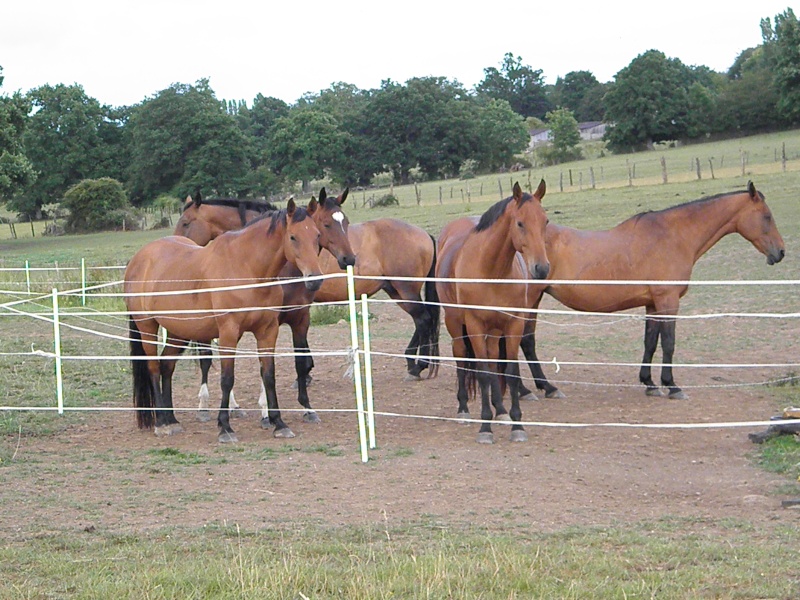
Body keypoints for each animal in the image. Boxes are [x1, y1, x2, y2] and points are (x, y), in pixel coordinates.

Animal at [125, 199, 322, 442]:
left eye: (317, 235)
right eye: (293, 237)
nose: (314, 280)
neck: (247, 268)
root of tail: (138, 260)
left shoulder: (267, 331)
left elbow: (268, 376)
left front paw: (278, 423)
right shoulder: (228, 332)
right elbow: (227, 378)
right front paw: (225, 426)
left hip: (179, 331)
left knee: (166, 365)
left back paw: (172, 419)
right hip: (148, 326)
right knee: (153, 366)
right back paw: (162, 422)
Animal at [175, 188, 356, 422]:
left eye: (346, 222)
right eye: (326, 224)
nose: (349, 258)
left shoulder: (299, 318)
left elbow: (300, 362)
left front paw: (306, 407)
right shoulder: (270, 321)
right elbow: (264, 367)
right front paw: (265, 410)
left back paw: (232, 405)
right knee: (206, 357)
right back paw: (205, 405)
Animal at [438, 180, 552, 442]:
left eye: (545, 221)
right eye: (520, 223)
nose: (541, 268)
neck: (491, 271)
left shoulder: (513, 324)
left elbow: (508, 371)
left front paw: (516, 424)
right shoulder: (475, 325)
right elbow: (482, 373)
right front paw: (485, 427)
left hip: (494, 331)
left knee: (492, 362)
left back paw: (500, 410)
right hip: (455, 323)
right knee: (461, 357)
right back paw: (463, 409)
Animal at [520, 180, 788, 400]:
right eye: (767, 216)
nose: (781, 252)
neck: (673, 236)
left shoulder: (653, 303)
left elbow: (650, 341)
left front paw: (649, 382)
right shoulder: (668, 301)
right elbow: (669, 342)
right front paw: (672, 386)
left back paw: (542, 387)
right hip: (529, 300)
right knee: (523, 341)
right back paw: (535, 389)